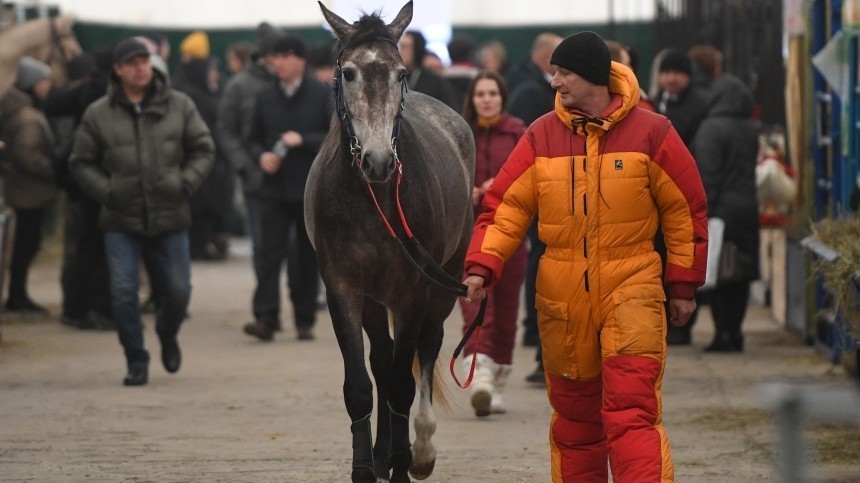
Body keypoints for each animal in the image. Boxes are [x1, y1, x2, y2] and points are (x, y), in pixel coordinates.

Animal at [306, 1, 474, 482]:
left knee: (426, 347)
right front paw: (367, 466)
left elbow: (403, 382)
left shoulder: (413, 290)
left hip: (444, 280)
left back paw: (419, 450)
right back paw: (384, 454)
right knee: (382, 359)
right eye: (347, 73)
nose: (378, 161)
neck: (374, 198)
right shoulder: (344, 286)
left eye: (401, 73)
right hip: (375, 298)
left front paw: (406, 461)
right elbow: (362, 384)